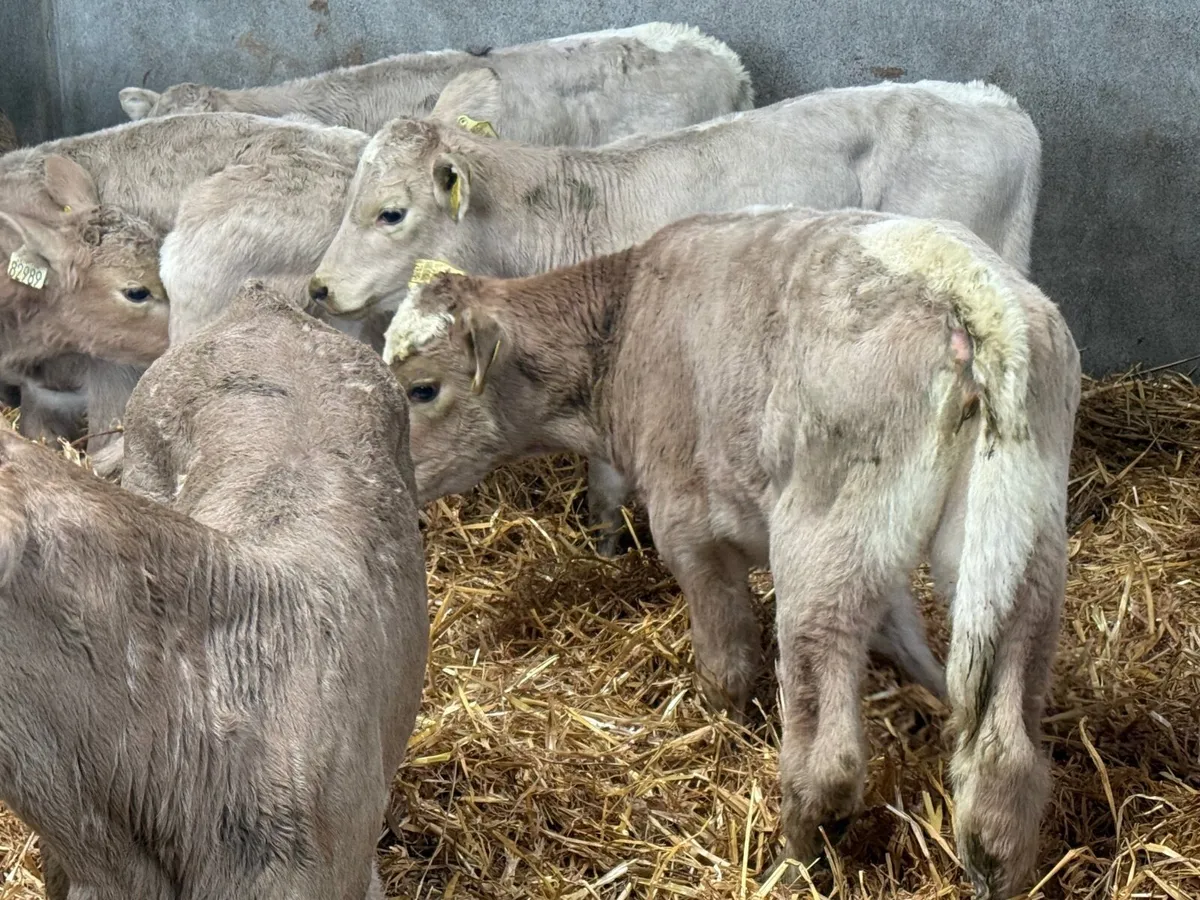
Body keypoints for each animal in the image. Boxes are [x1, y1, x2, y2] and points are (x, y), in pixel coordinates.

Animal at [380, 207, 1081, 900]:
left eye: (422, 389)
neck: (622, 327)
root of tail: (966, 288)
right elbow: (906, 636)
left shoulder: (690, 527)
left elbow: (726, 665)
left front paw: (720, 735)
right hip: (1021, 548)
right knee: (1006, 751)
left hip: (823, 546)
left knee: (829, 760)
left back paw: (789, 864)